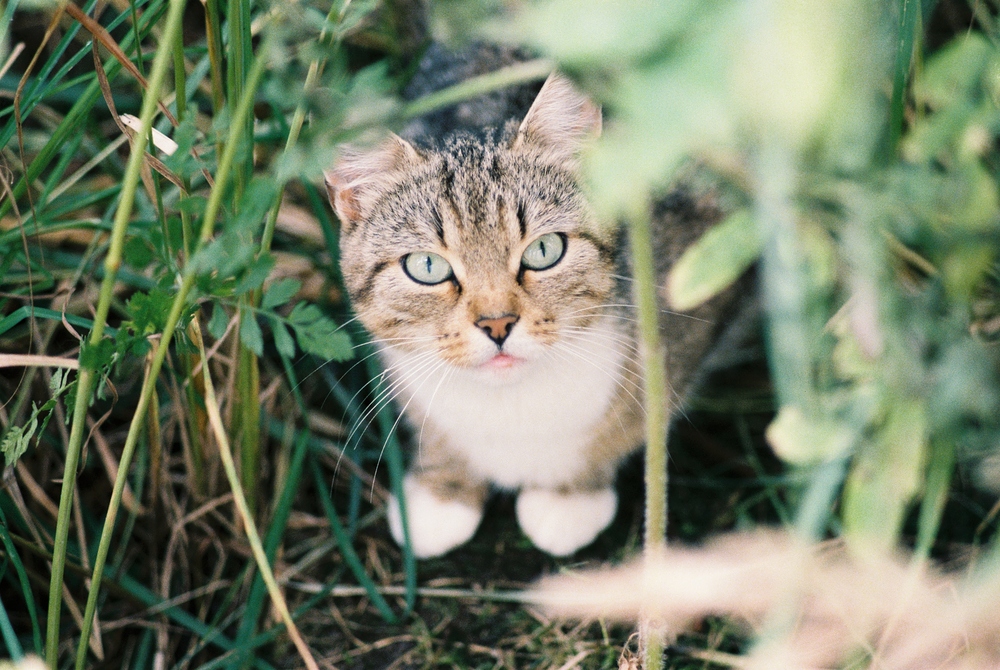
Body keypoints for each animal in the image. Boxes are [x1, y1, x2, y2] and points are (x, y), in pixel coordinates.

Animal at [322, 47, 752, 560]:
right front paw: (441, 490)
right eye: (427, 266)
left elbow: (640, 413)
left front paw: (570, 494)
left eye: (544, 250)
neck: (511, 404)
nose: (497, 324)